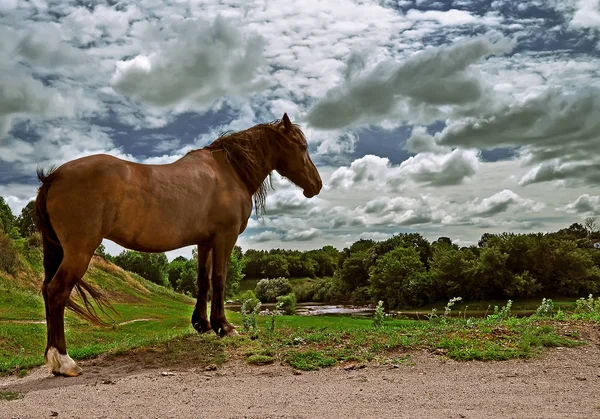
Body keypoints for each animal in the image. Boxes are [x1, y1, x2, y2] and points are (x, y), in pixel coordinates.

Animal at [34, 114, 322, 378]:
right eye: (301, 146)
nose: (317, 185)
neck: (230, 171)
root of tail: (53, 177)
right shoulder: (225, 238)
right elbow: (220, 279)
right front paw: (224, 327)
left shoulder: (205, 242)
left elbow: (203, 281)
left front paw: (203, 324)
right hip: (79, 251)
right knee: (57, 292)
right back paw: (64, 361)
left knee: (48, 291)